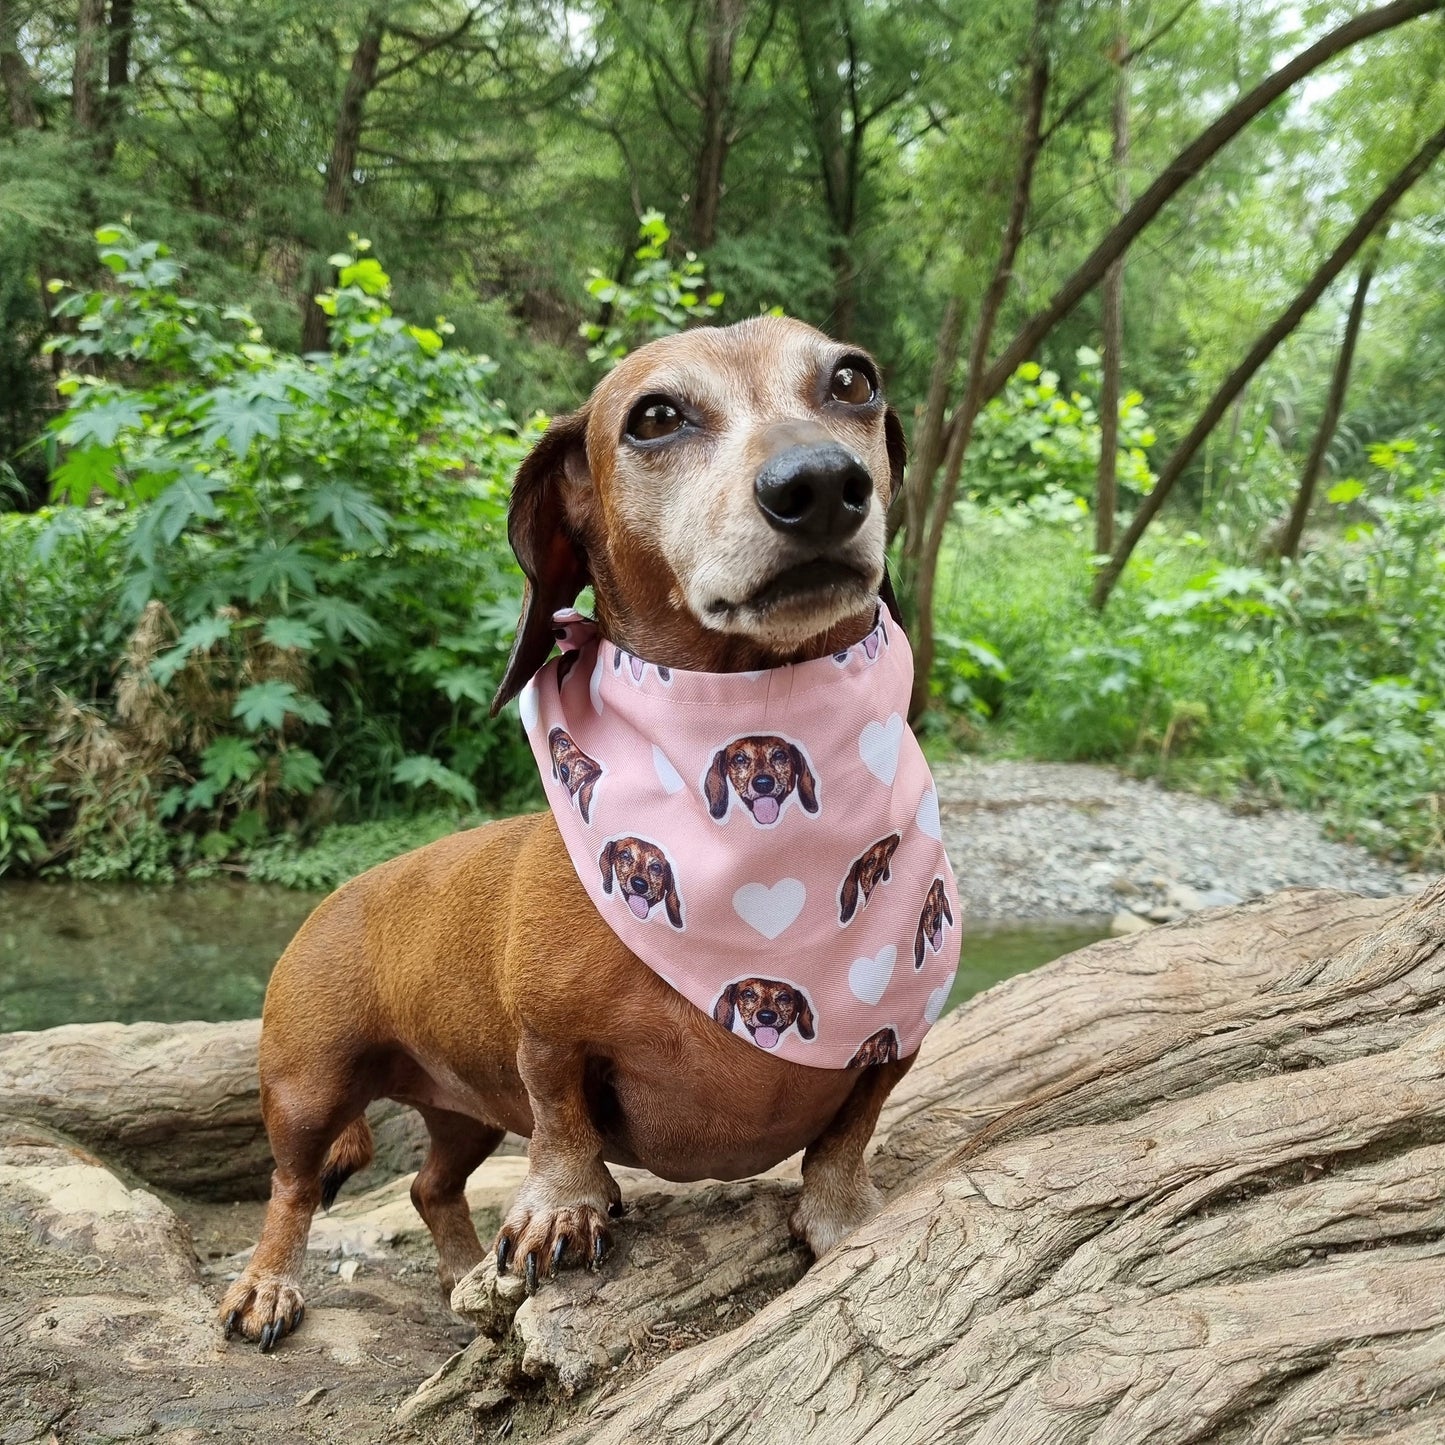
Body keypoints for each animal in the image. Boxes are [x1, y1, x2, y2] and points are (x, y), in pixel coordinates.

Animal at [213, 319, 913, 1352]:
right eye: (654, 416)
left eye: (853, 381)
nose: (820, 483)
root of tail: (343, 889)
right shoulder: (543, 1037)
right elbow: (562, 1120)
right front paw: (566, 1207)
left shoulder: (889, 1042)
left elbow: (844, 1135)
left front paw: (841, 1214)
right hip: (307, 1087)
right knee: (292, 1188)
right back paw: (268, 1284)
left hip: (461, 1109)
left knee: (428, 1186)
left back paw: (460, 1276)